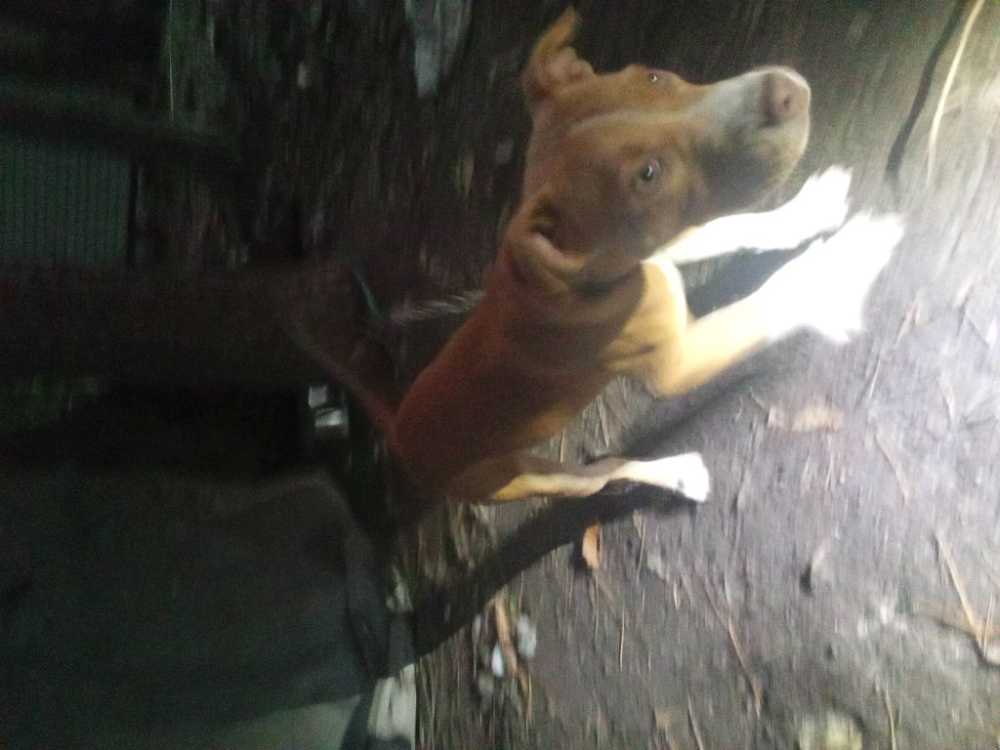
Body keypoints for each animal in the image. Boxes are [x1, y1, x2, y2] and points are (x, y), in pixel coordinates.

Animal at [336, 7, 903, 508]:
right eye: (648, 175)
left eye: (655, 76)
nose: (785, 93)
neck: (613, 270)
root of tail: (399, 435)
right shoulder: (676, 365)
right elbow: (763, 304)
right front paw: (844, 262)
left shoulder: (661, 240)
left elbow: (731, 227)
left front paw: (810, 209)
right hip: (529, 478)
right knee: (604, 472)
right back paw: (678, 474)